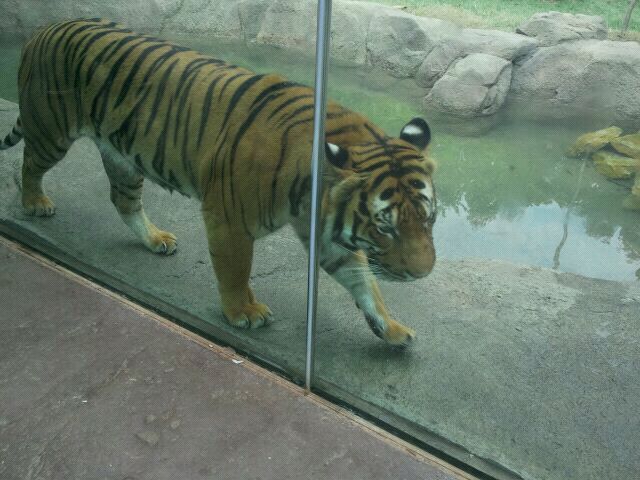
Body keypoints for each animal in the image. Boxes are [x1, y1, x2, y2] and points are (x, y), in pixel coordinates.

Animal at [0, 18, 437, 346]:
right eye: (385, 227)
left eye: (428, 219)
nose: (423, 273)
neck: (311, 190)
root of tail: (45, 27)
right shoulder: (229, 218)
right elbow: (235, 270)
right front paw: (243, 312)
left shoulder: (328, 234)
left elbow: (364, 284)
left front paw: (392, 328)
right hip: (51, 131)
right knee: (30, 165)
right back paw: (35, 202)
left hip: (122, 157)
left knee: (123, 201)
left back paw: (155, 239)